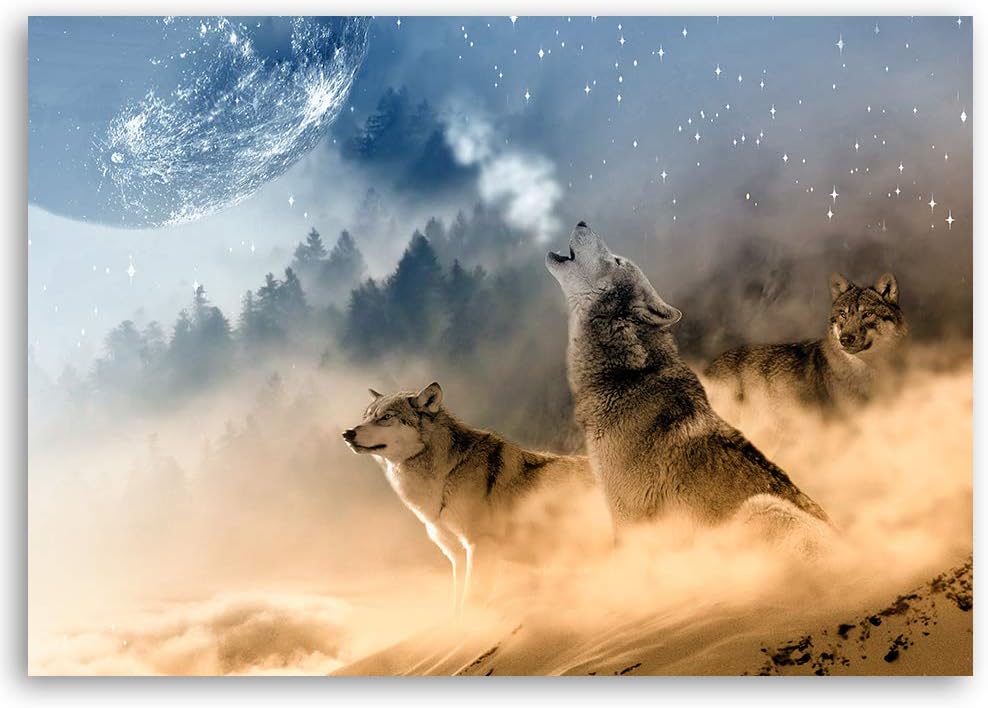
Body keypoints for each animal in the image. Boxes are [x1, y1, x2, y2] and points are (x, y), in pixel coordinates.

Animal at [342, 382, 606, 613]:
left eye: (386, 417)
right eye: (366, 417)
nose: (347, 433)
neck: (446, 475)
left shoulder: (481, 546)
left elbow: (471, 603)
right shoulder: (457, 557)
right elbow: (457, 607)